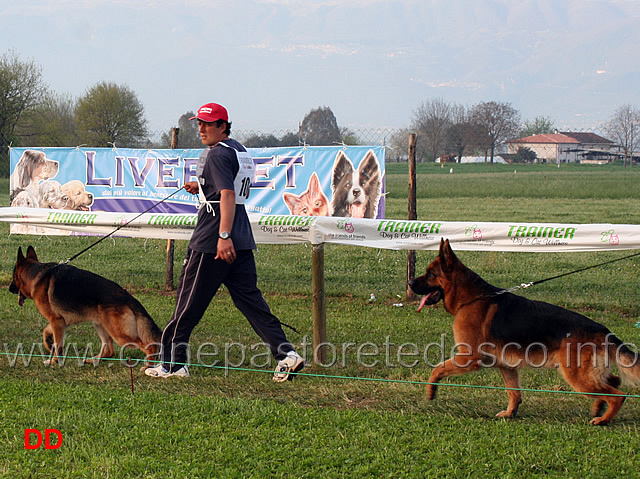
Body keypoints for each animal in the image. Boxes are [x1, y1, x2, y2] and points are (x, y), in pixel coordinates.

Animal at [10, 248, 161, 368]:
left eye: (13, 277)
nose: (10, 289)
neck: (35, 274)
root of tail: (128, 297)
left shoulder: (56, 320)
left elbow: (58, 344)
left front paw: (54, 361)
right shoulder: (59, 321)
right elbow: (46, 332)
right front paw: (48, 343)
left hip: (119, 333)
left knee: (150, 345)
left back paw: (148, 365)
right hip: (101, 325)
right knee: (109, 351)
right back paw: (92, 360)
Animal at [410, 242, 640, 426]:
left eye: (430, 274)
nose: (410, 283)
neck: (471, 299)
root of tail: (603, 330)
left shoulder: (469, 358)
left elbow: (437, 368)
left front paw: (431, 391)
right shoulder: (506, 366)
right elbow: (514, 393)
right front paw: (510, 413)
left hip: (576, 375)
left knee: (618, 395)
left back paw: (603, 420)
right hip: (587, 373)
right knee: (613, 381)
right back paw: (599, 407)